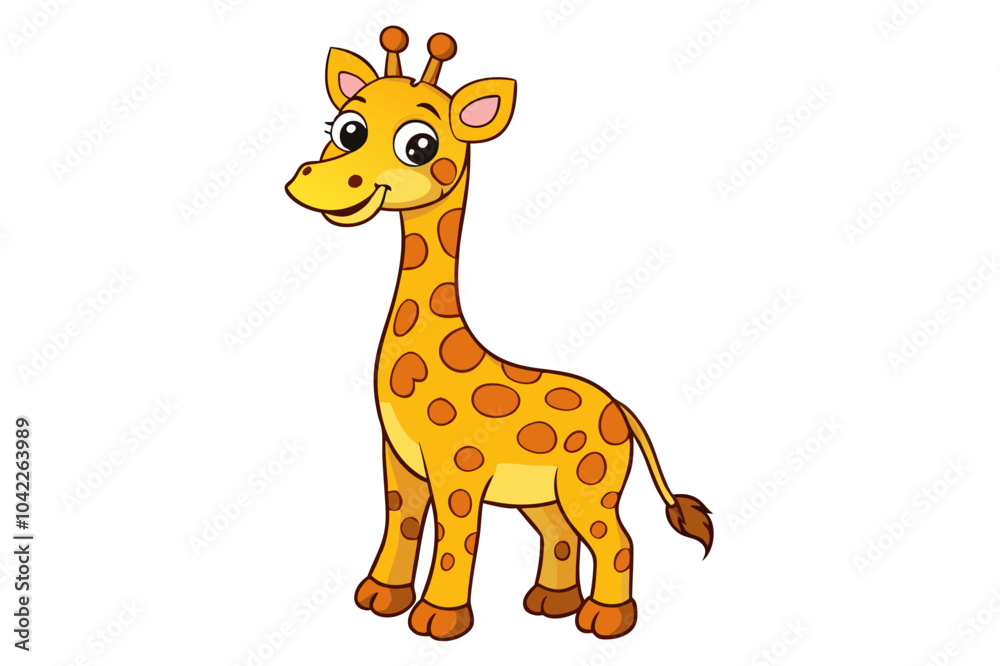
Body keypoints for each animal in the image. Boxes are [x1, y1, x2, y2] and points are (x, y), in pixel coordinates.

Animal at [285, 27, 714, 641]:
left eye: (419, 145)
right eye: (345, 129)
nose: (312, 180)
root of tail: (623, 411)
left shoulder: (460, 467)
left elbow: (455, 539)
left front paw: (439, 620)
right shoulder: (399, 459)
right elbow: (402, 523)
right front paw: (380, 598)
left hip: (592, 483)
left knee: (615, 539)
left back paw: (606, 621)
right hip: (544, 493)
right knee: (559, 533)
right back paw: (550, 605)